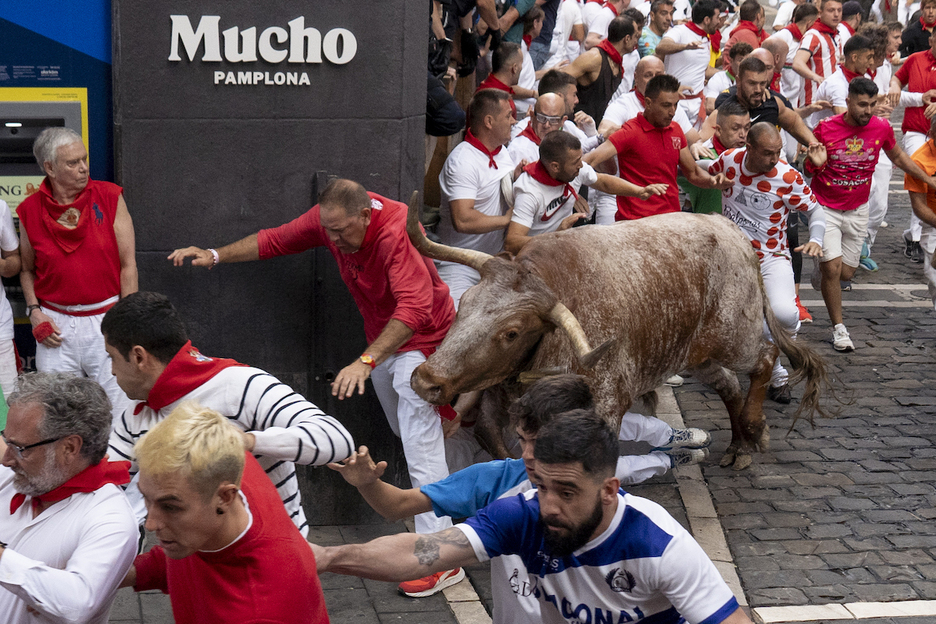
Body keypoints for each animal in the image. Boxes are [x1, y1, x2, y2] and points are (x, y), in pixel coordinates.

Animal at [406, 193, 828, 470]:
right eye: (464, 302)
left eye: (511, 333)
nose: (426, 379)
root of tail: (726, 227)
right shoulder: (495, 396)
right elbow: (492, 439)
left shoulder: (607, 403)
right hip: (694, 354)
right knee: (728, 385)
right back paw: (739, 445)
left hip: (733, 335)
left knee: (764, 358)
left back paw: (755, 429)